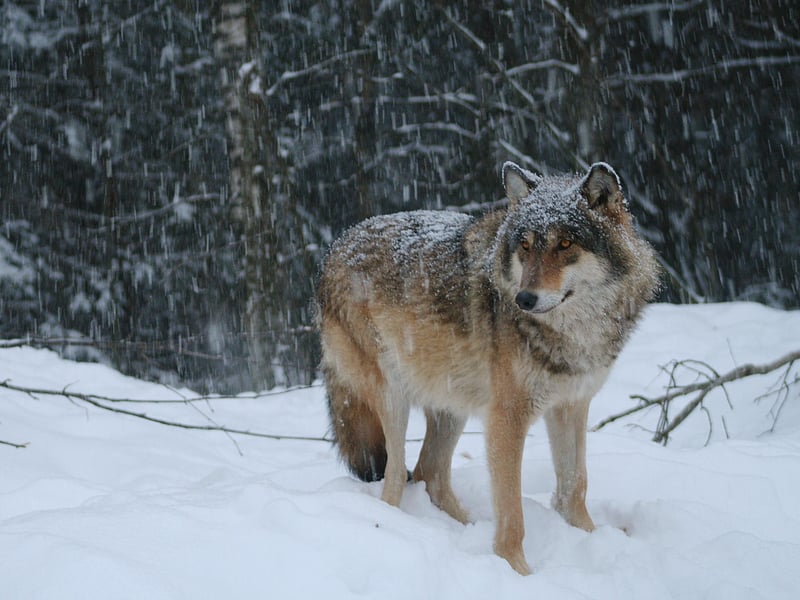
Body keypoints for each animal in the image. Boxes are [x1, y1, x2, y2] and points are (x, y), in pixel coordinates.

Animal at [316, 161, 660, 574]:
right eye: (525, 245)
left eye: (565, 244)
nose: (524, 299)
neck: (572, 332)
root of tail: (335, 247)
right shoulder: (506, 418)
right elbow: (512, 511)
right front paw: (517, 571)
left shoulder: (571, 406)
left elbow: (574, 485)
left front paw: (592, 539)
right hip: (393, 396)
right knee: (397, 474)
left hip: (452, 404)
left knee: (430, 472)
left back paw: (466, 528)